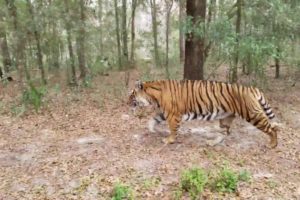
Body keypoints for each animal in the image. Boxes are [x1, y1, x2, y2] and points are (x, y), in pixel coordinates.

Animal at [127, 79, 278, 148]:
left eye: (132, 94)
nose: (126, 102)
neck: (153, 96)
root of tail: (252, 88)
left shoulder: (172, 114)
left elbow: (173, 129)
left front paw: (169, 140)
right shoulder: (166, 113)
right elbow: (153, 119)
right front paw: (151, 128)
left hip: (252, 114)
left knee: (272, 129)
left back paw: (272, 144)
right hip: (225, 118)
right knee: (224, 133)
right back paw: (211, 142)